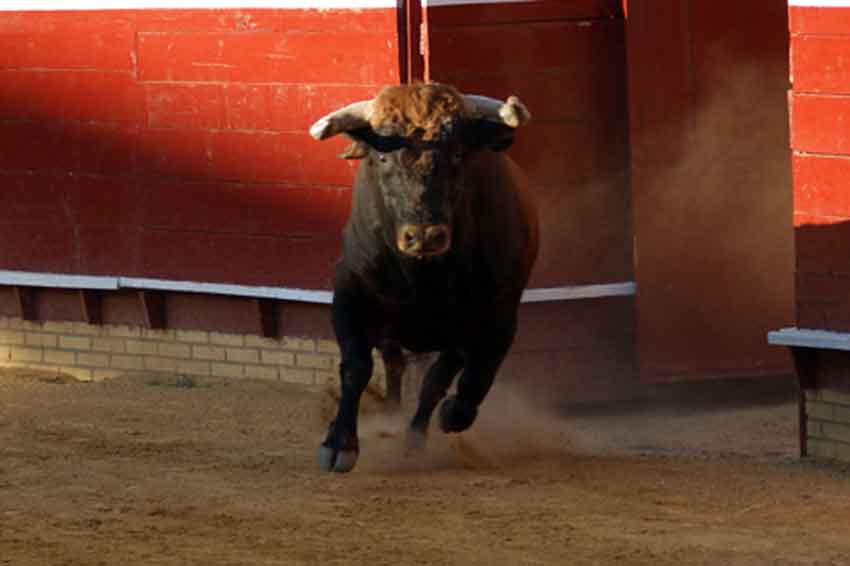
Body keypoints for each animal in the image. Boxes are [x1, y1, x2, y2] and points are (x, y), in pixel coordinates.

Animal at [310, 83, 536, 474]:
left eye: (458, 153)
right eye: (382, 157)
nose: (425, 236)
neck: (424, 276)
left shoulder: (498, 316)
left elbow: (468, 377)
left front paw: (447, 417)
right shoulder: (350, 292)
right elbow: (355, 367)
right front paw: (339, 444)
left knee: (437, 378)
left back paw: (416, 434)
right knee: (394, 363)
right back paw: (389, 415)